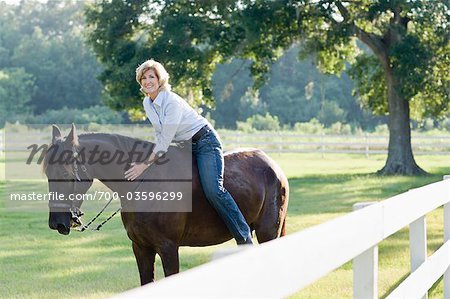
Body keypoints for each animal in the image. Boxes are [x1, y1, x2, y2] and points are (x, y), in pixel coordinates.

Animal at [45, 124, 290, 286]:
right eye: (47, 173)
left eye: (65, 174)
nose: (57, 223)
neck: (145, 184)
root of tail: (273, 166)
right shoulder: (141, 248)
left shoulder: (168, 247)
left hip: (268, 232)